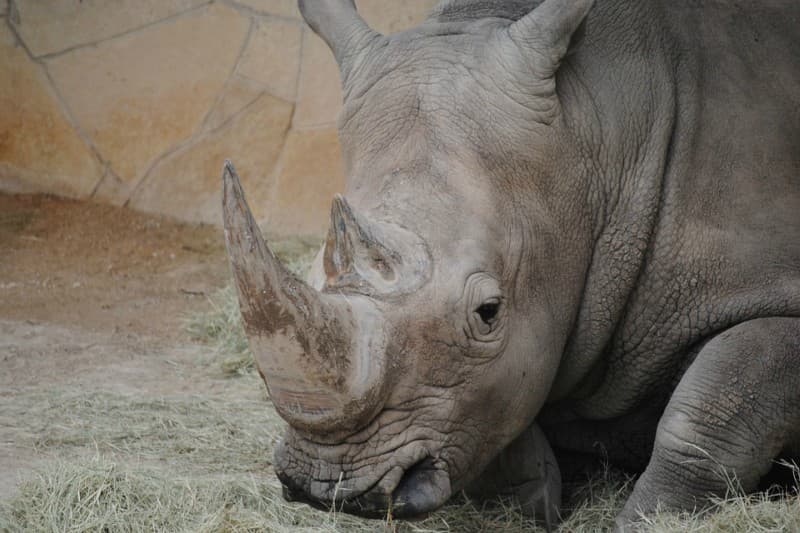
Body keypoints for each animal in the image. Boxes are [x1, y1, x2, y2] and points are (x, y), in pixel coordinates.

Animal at [221, 0, 800, 528]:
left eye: (489, 312)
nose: (328, 487)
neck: (600, 134)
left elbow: (708, 410)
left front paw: (646, 521)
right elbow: (499, 411)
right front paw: (531, 504)